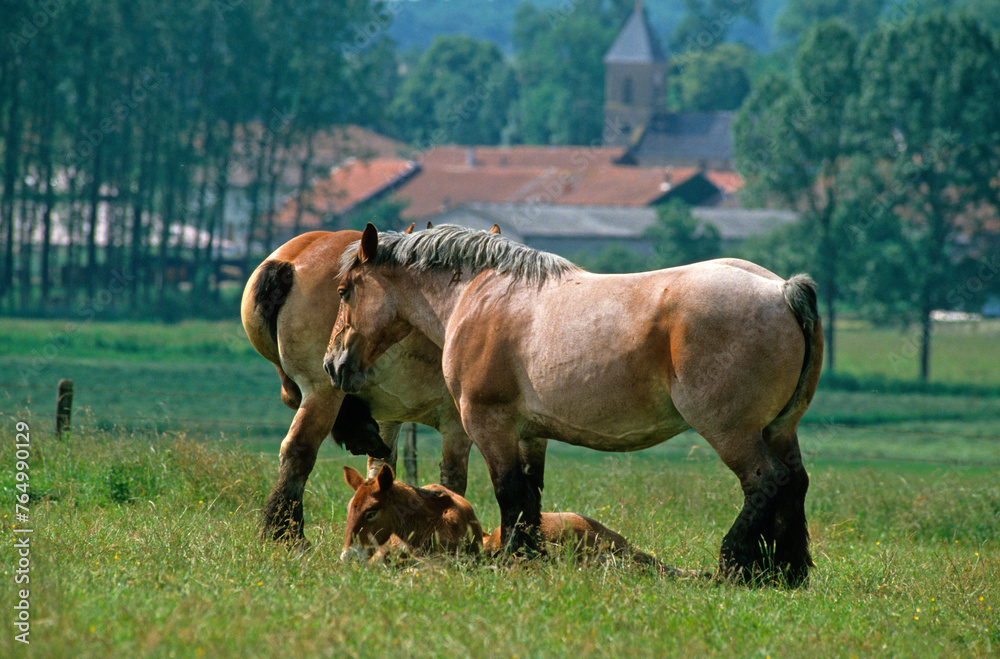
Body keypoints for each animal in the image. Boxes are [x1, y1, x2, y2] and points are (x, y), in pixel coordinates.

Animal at [241, 227, 498, 544]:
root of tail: (290, 260)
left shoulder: (391, 418)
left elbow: (382, 473)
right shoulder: (458, 427)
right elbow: (453, 482)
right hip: (322, 393)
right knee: (297, 451)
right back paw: (287, 534)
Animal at [325, 224, 823, 586]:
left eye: (345, 291)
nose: (333, 364)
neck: (478, 296)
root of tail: (782, 290)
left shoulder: (488, 423)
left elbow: (510, 493)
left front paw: (515, 560)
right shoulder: (530, 433)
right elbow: (529, 498)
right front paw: (531, 556)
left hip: (731, 433)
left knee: (766, 483)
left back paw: (734, 565)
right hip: (779, 430)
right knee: (794, 483)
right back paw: (787, 571)